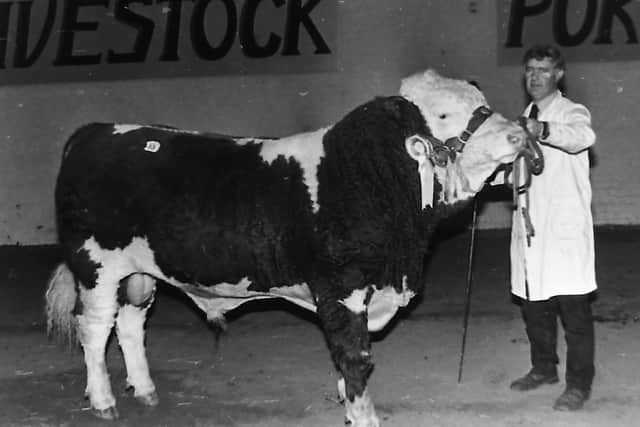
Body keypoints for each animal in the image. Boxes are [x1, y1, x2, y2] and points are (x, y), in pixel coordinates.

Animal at [43, 68, 524, 426]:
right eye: (442, 114)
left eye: (480, 99)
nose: (519, 135)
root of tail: (97, 131)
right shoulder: (342, 288)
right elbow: (355, 356)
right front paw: (363, 415)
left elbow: (350, 361)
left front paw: (347, 403)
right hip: (96, 265)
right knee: (95, 328)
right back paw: (103, 401)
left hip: (140, 271)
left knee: (129, 324)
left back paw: (144, 390)